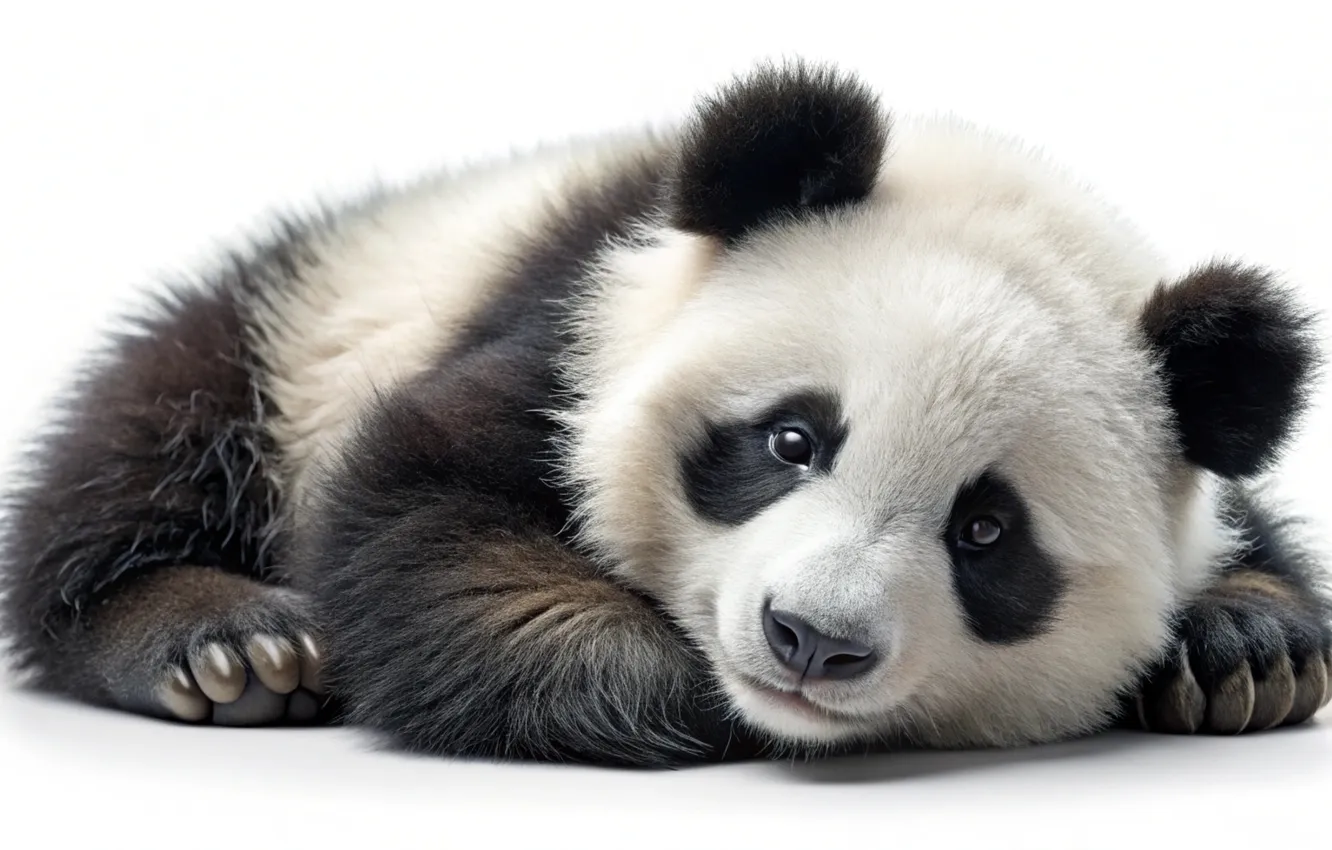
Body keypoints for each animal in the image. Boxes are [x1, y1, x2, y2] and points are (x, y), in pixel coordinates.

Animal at [1, 60, 1328, 768]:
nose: (811, 641)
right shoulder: (567, 336)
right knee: (143, 444)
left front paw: (1244, 646)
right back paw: (221, 642)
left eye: (986, 532)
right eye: (792, 440)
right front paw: (678, 685)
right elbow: (428, 528)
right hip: (295, 328)